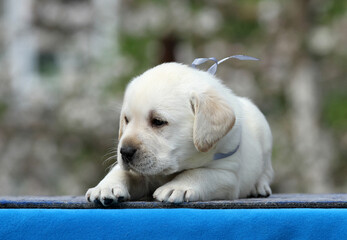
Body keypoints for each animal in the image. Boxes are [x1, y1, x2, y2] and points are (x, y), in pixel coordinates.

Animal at [85, 62, 274, 204]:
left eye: (158, 121)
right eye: (126, 119)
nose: (125, 152)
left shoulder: (227, 174)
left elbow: (199, 173)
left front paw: (177, 187)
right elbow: (120, 171)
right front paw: (105, 187)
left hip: (264, 135)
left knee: (266, 170)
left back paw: (260, 186)